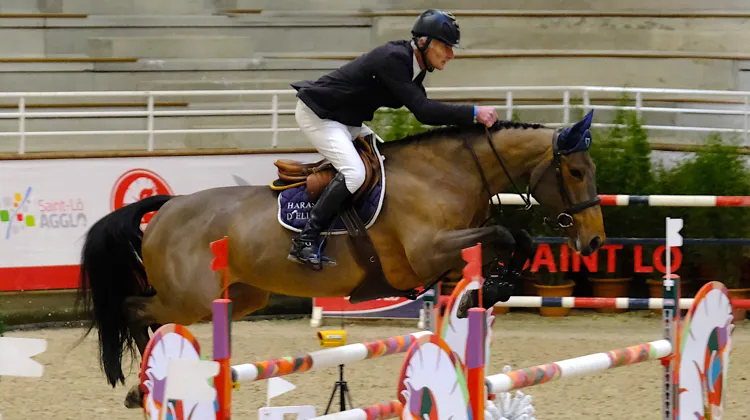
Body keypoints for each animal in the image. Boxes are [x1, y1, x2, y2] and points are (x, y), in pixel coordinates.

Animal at [75, 109, 605, 408]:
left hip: (242, 296)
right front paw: (495, 285)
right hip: (190, 300)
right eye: (576, 172)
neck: (446, 173)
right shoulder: (426, 252)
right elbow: (506, 231)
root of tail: (168, 206)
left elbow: (517, 238)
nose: (596, 242)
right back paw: (140, 385)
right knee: (134, 310)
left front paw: (492, 288)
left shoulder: (449, 258)